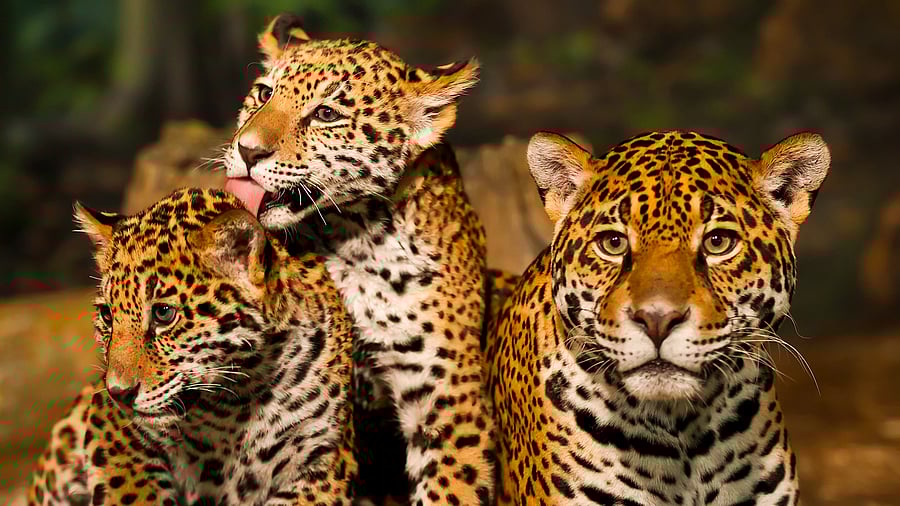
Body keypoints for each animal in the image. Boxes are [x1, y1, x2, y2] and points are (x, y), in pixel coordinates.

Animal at [28, 188, 358, 505]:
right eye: (107, 315)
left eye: (163, 314)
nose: (119, 394)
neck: (239, 400)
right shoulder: (109, 426)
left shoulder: (324, 463)